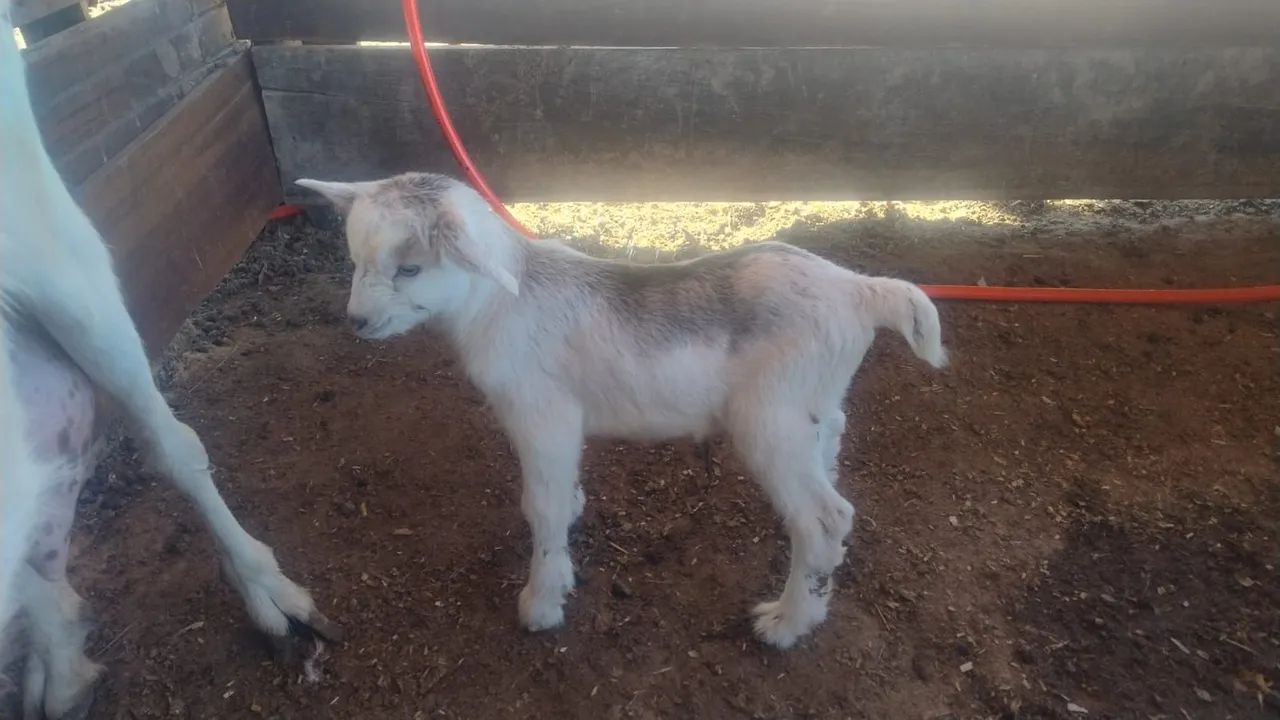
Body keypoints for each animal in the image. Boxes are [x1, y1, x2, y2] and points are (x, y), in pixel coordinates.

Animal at [300, 171, 947, 648]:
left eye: (410, 268)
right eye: (355, 259)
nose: (358, 322)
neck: (504, 300)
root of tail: (859, 289)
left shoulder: (543, 415)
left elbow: (539, 506)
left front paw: (542, 601)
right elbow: (559, 495)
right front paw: (573, 517)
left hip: (771, 421)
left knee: (824, 518)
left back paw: (786, 624)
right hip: (815, 410)